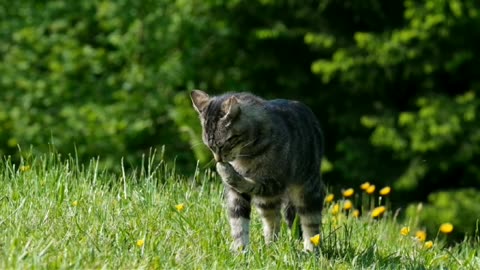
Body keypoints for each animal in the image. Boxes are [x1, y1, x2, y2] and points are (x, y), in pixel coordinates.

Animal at [189, 90, 324, 251]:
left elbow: (249, 183)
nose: (218, 159)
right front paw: (240, 250)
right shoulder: (237, 194)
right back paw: (270, 247)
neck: (247, 153)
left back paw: (310, 250)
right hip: (266, 203)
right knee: (273, 220)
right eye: (210, 147)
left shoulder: (273, 183)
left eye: (222, 145)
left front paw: (227, 173)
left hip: (307, 191)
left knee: (310, 224)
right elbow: (238, 222)